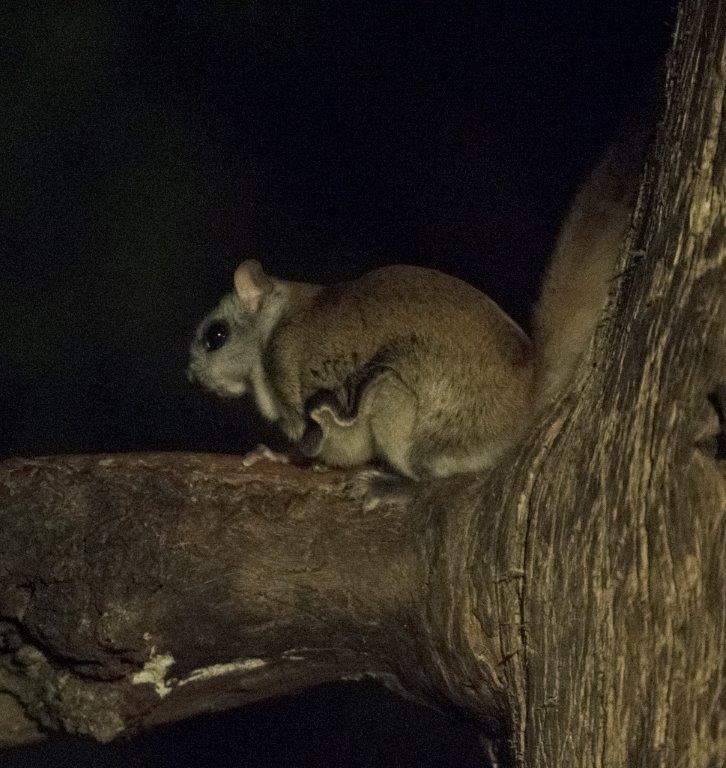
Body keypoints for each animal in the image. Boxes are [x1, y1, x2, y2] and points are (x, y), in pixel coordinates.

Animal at [187, 139, 642, 508]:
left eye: (215, 336)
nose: (192, 376)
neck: (270, 331)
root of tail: (526, 403)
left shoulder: (292, 376)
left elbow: (322, 447)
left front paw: (281, 456)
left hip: (400, 403)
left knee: (426, 477)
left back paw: (394, 486)